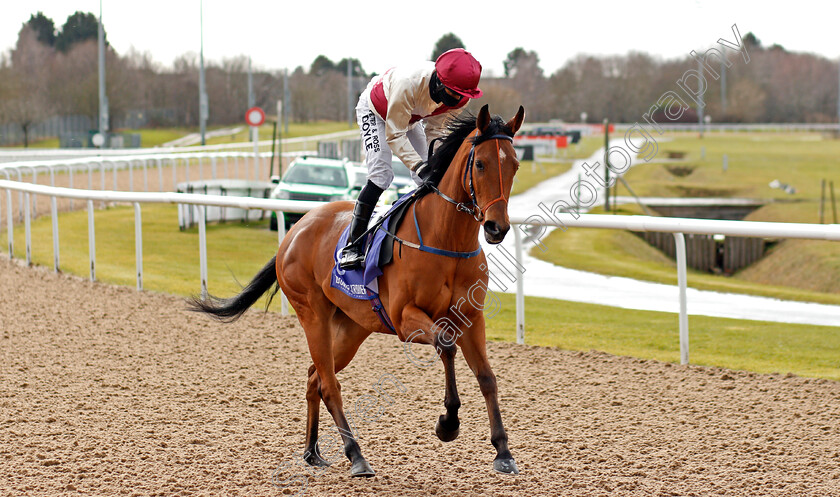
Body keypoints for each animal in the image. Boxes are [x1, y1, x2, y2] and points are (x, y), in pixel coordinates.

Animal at [192, 103, 524, 476]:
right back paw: (356, 455)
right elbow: (445, 343)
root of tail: (295, 231)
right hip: (313, 315)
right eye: (480, 163)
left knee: (314, 377)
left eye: (514, 164)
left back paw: (312, 451)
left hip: (351, 327)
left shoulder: (471, 317)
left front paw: (503, 451)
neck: (446, 241)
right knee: (329, 384)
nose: (497, 227)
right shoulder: (406, 319)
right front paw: (448, 423)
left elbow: (487, 377)